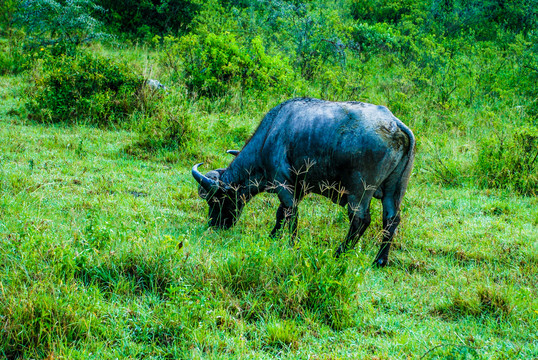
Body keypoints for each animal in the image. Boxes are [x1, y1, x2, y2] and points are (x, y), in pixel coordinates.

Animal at [193, 97, 414, 266]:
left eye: (216, 200)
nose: (215, 224)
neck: (270, 134)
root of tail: (394, 123)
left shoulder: (283, 184)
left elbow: (291, 214)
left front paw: (292, 244)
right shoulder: (297, 188)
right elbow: (281, 213)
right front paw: (273, 236)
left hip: (359, 192)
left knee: (360, 220)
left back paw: (339, 252)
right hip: (394, 192)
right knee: (391, 220)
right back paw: (380, 260)